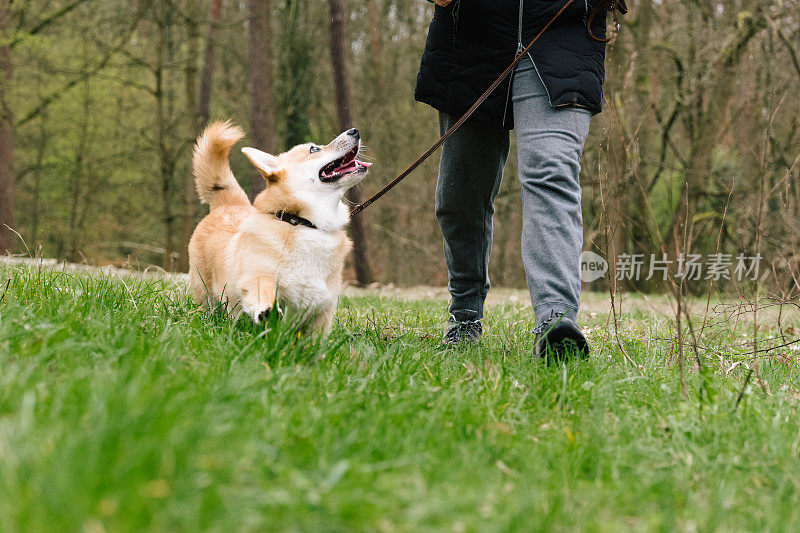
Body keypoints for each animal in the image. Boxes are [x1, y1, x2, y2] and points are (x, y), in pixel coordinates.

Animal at [190, 120, 372, 332]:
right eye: (313, 149)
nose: (354, 131)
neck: (305, 223)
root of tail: (228, 202)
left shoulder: (323, 310)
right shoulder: (257, 275)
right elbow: (263, 289)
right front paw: (267, 311)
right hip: (204, 290)